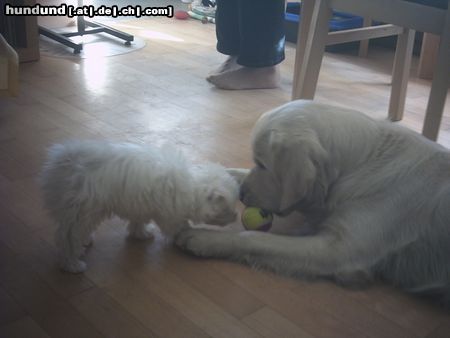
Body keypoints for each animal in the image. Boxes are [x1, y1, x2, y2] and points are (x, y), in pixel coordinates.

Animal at [40, 141, 241, 274]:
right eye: (227, 209)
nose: (236, 216)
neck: (192, 187)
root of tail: (62, 164)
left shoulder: (140, 205)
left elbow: (138, 221)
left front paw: (141, 234)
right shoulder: (170, 213)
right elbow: (177, 226)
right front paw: (186, 234)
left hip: (79, 212)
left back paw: (85, 241)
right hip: (82, 209)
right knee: (68, 238)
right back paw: (73, 264)